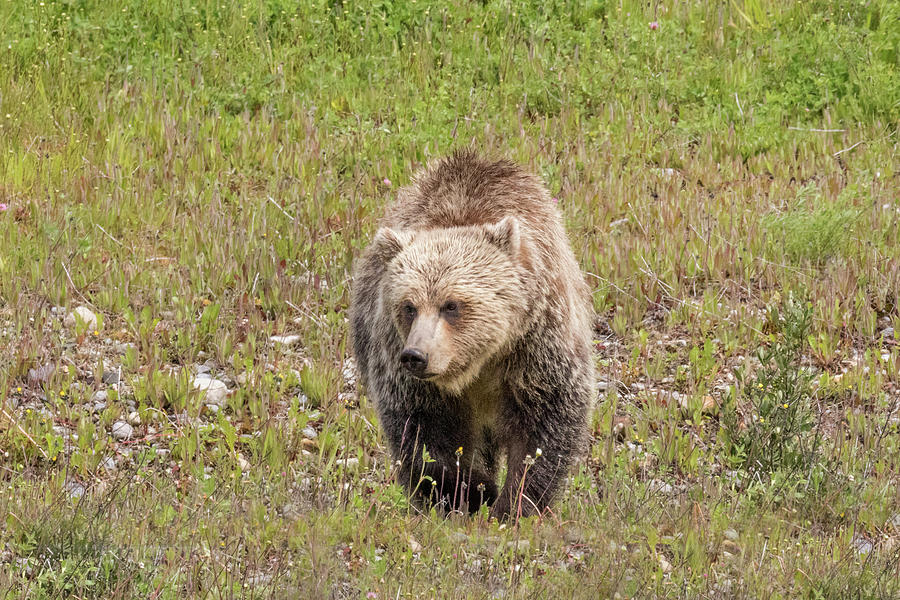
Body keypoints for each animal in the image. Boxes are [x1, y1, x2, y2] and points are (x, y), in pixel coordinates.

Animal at [352, 151, 596, 520]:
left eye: (451, 305)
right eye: (409, 306)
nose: (416, 355)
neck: (479, 363)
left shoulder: (536, 344)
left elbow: (545, 421)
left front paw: (515, 503)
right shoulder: (401, 362)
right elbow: (422, 432)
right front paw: (469, 491)